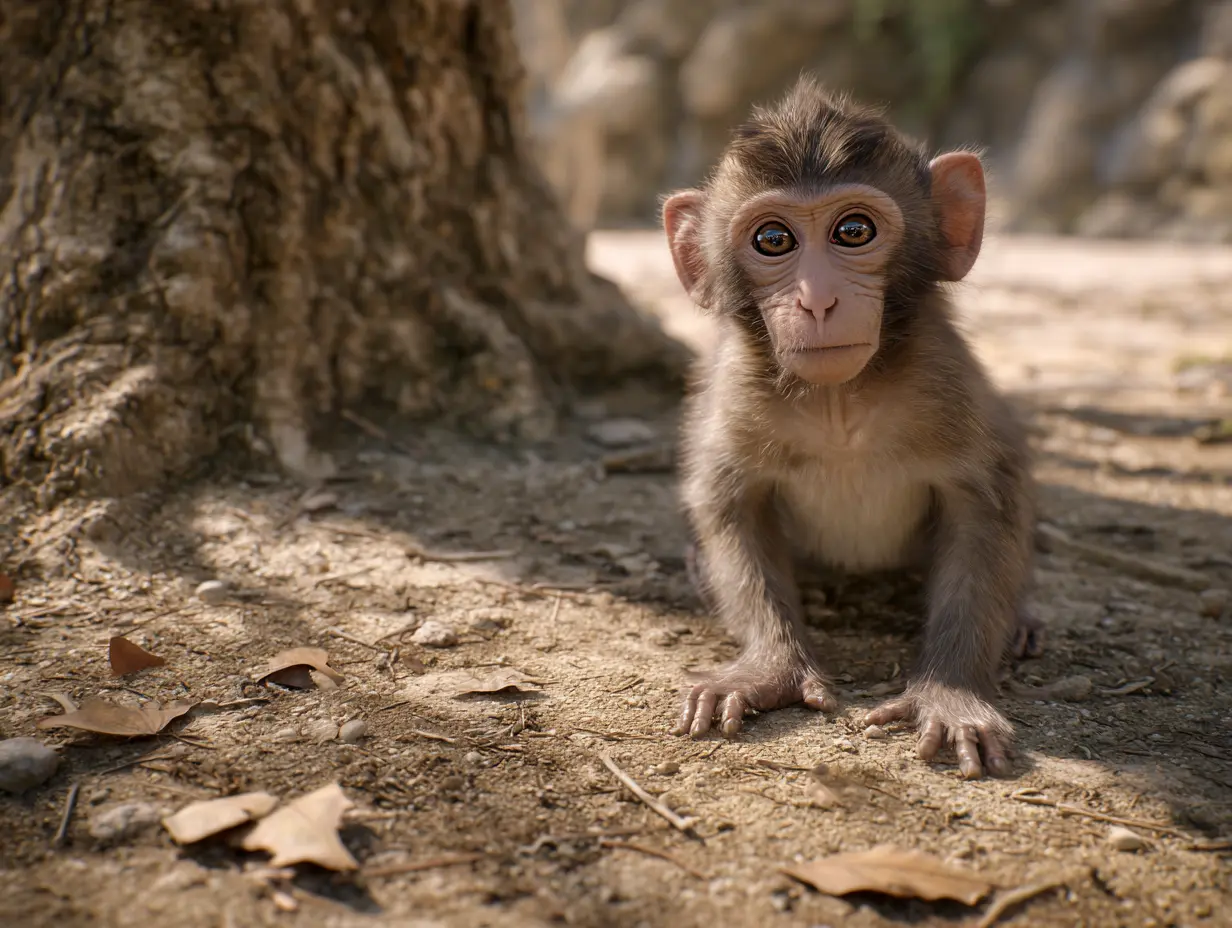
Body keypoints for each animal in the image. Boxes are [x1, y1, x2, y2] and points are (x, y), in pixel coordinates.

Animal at [659, 76, 1042, 780]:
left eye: (854, 230)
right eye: (773, 241)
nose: (817, 300)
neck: (839, 402)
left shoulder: (948, 383)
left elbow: (984, 508)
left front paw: (950, 694)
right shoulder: (734, 395)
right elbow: (731, 508)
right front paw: (767, 669)